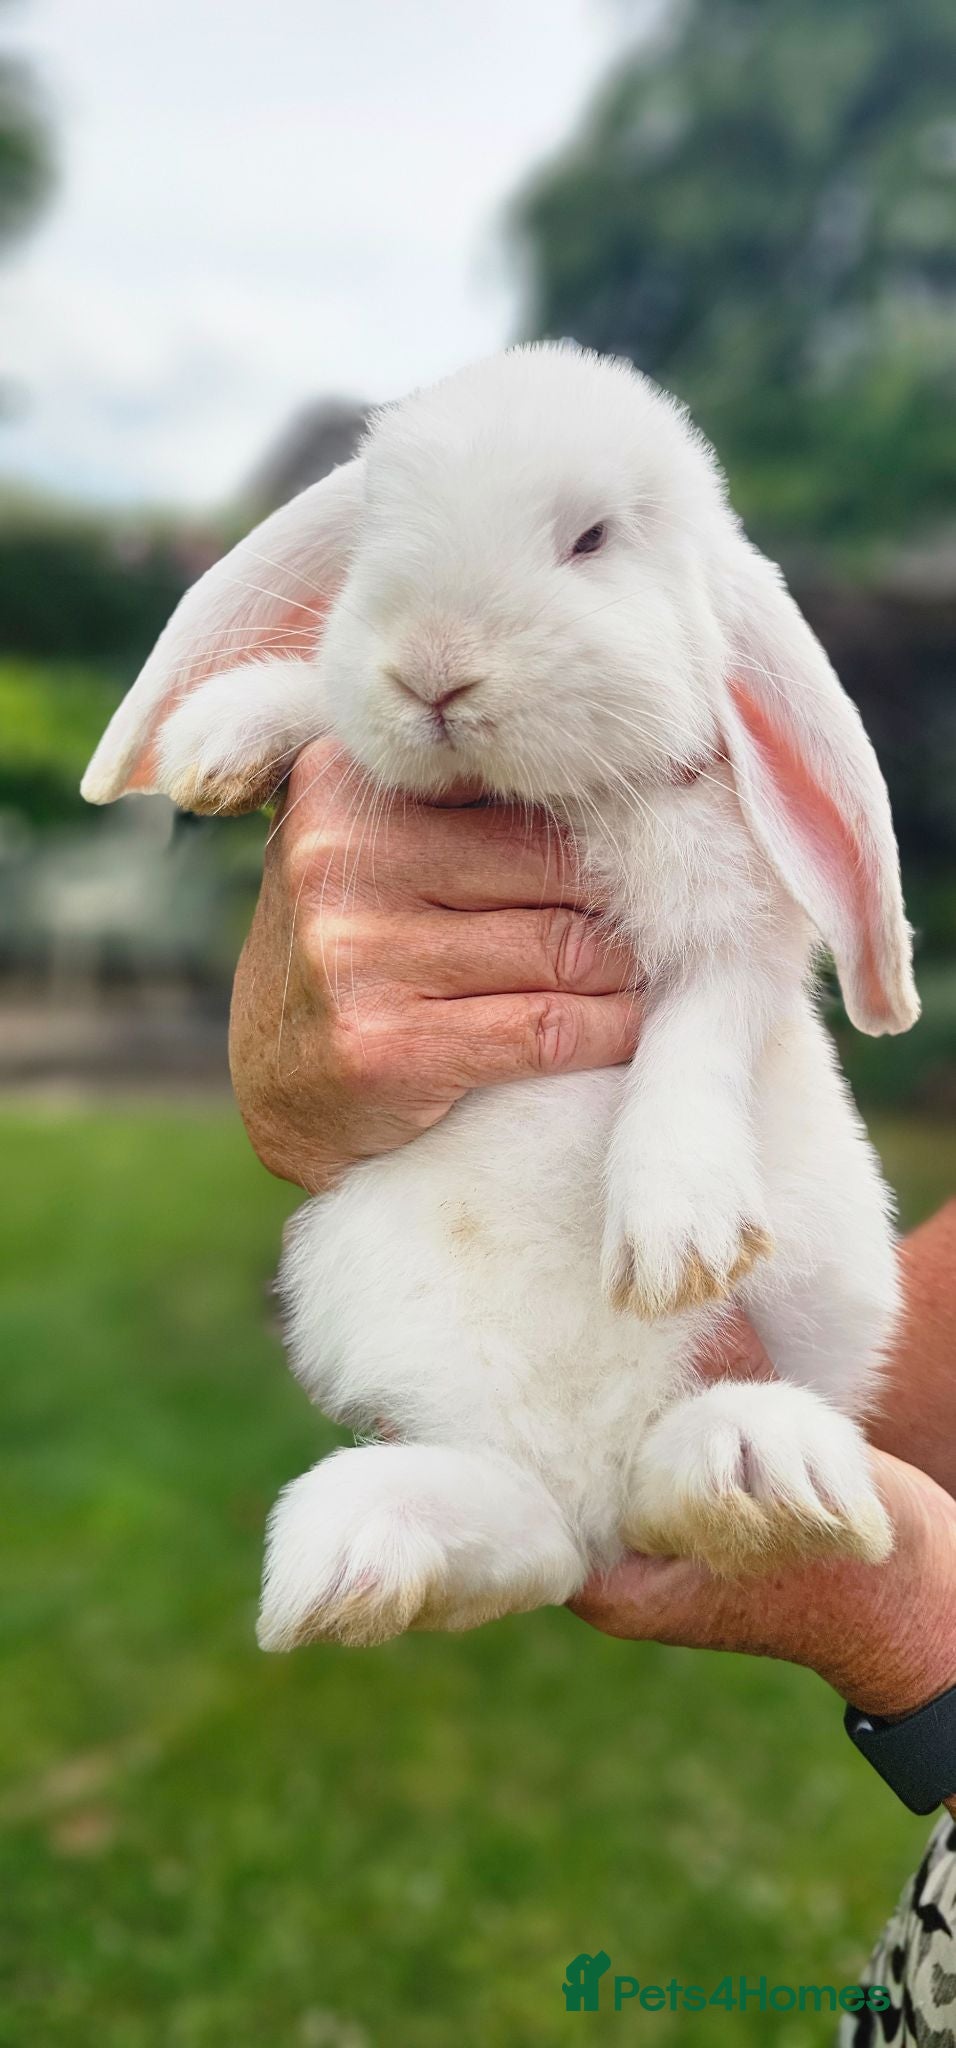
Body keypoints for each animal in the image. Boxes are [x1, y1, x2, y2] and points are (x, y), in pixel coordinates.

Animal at [82, 342, 920, 1652]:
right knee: (520, 1548)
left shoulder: (740, 937)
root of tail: (586, 1500)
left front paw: (674, 1235)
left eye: (591, 538)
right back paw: (356, 1564)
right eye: (373, 529)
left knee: (652, 1496)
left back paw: (760, 1478)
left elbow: (696, 1040)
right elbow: (321, 704)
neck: (553, 796)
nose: (432, 669)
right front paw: (221, 740)